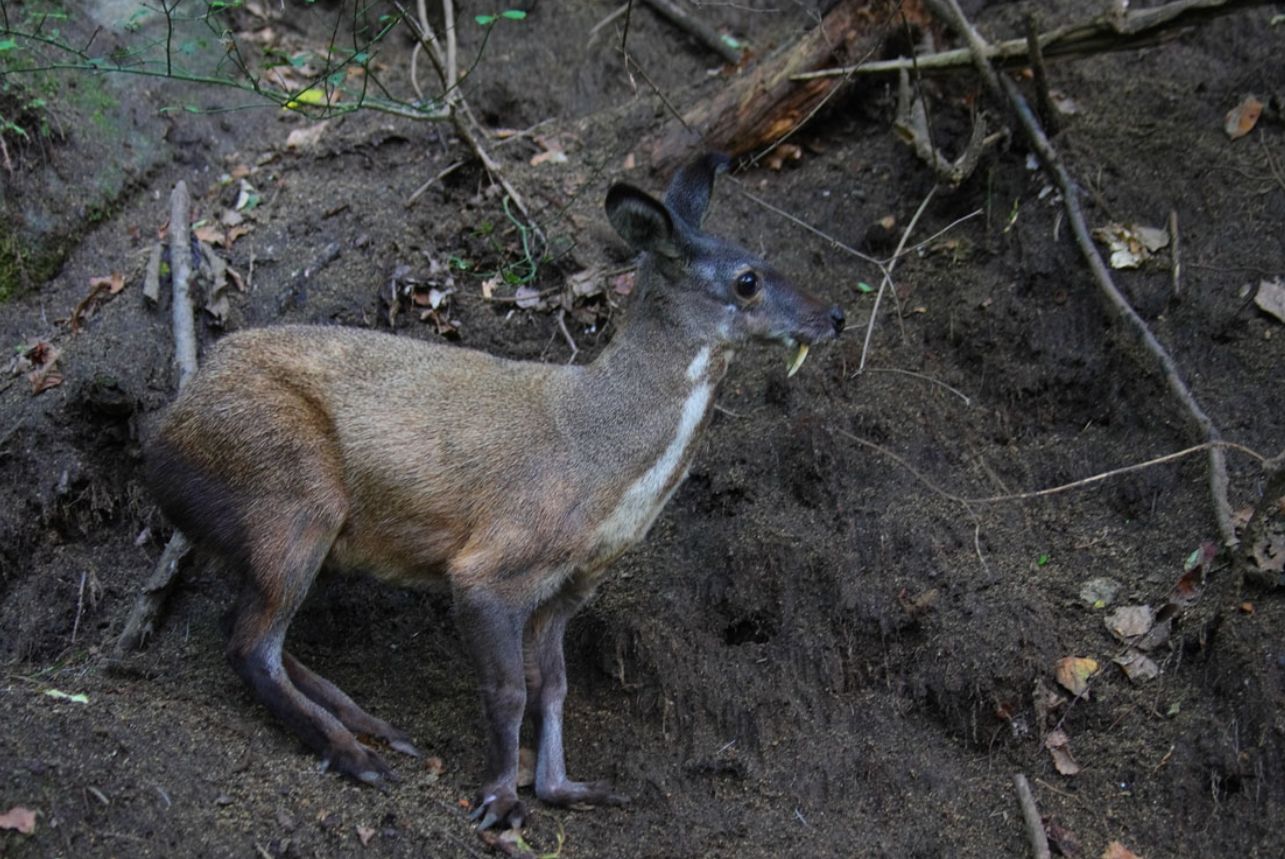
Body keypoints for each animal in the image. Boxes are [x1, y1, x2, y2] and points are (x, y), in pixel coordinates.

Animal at [145, 151, 842, 828]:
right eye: (747, 279)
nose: (834, 315)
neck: (600, 467)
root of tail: (161, 441)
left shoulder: (568, 587)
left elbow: (554, 687)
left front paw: (567, 788)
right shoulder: (494, 563)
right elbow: (509, 691)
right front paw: (500, 800)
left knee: (246, 626)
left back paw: (376, 728)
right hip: (293, 494)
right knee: (250, 646)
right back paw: (356, 756)